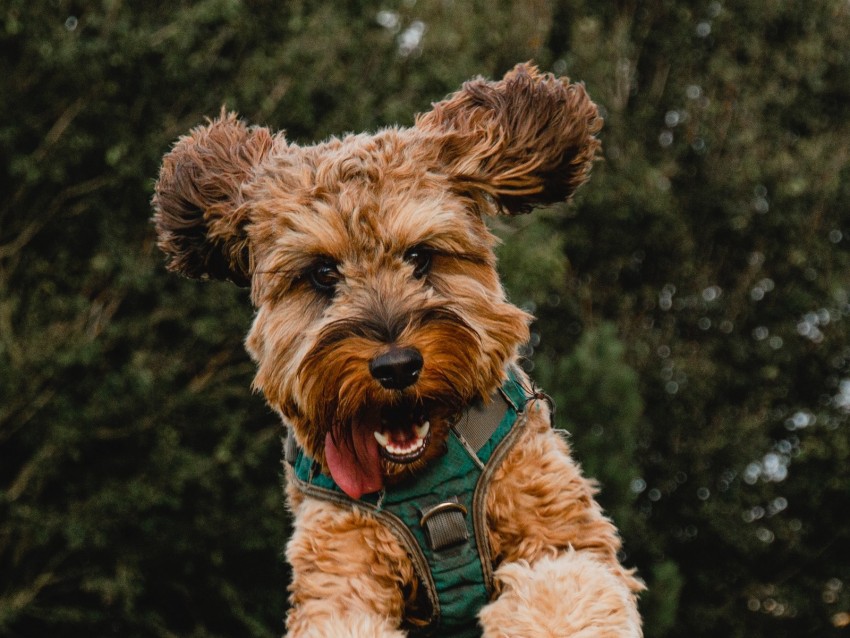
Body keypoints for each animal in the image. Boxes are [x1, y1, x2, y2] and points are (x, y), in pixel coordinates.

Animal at [154, 63, 644, 638]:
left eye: (420, 256)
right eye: (323, 273)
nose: (396, 366)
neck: (428, 487)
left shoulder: (559, 537)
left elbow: (562, 592)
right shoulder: (340, 577)